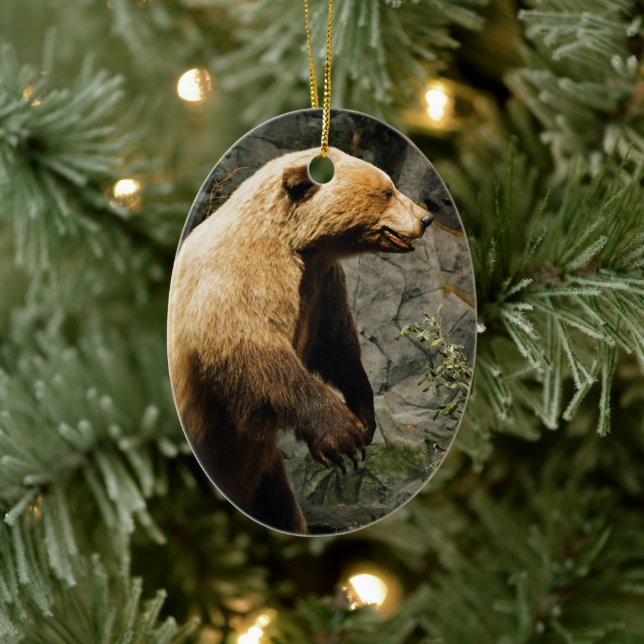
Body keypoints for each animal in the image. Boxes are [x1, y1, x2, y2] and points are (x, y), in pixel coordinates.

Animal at [167, 146, 433, 534]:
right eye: (387, 191)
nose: (426, 217)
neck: (301, 247)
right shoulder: (242, 276)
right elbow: (253, 351)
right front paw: (343, 434)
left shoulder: (322, 287)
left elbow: (337, 347)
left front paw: (363, 416)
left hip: (262, 471)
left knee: (279, 505)